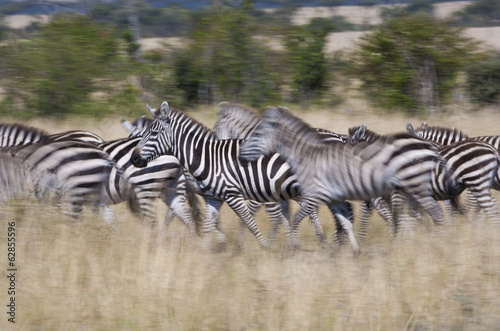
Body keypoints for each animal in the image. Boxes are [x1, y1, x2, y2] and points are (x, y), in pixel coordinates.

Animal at [131, 101, 362, 254]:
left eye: (153, 133)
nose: (134, 158)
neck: (206, 156)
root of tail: (341, 140)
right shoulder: (215, 198)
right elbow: (209, 224)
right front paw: (205, 252)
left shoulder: (238, 194)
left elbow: (250, 220)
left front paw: (265, 247)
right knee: (343, 212)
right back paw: (347, 247)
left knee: (344, 211)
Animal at [238, 106, 446, 246]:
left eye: (257, 135)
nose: (240, 156)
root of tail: (428, 146)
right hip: (411, 188)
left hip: (414, 187)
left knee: (435, 213)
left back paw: (439, 241)